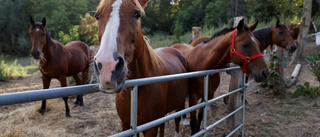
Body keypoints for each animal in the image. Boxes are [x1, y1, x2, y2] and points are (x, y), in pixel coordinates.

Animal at [92, 0, 188, 136]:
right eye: (97, 16)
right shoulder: (126, 125)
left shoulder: (150, 128)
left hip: (179, 104)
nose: (107, 66)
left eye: (137, 14)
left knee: (177, 121)